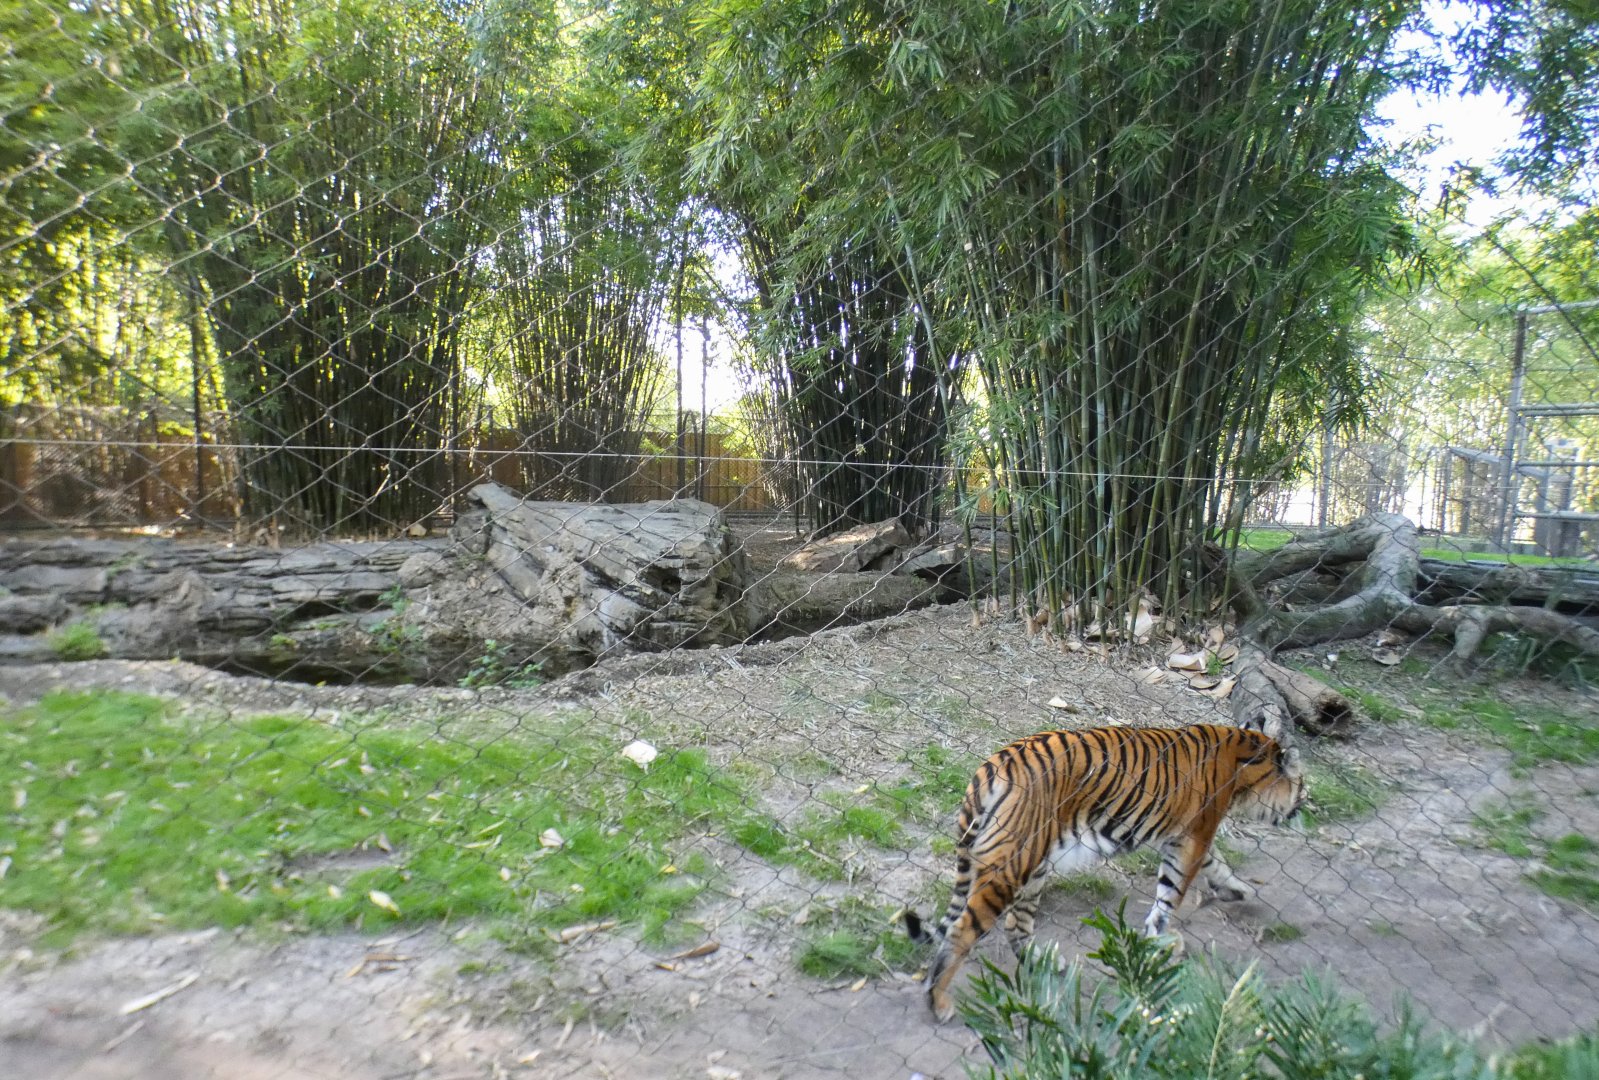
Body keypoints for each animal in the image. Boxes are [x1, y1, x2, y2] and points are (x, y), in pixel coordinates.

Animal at [903, 722, 1305, 1022]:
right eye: (1301, 784)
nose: (1303, 806)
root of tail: (993, 764)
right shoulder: (1193, 836)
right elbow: (1171, 892)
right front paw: (1160, 937)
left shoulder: (1183, 837)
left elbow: (1214, 865)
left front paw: (1237, 890)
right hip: (1011, 865)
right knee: (963, 931)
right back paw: (938, 1002)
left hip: (1033, 864)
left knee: (1017, 924)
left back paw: (1044, 962)